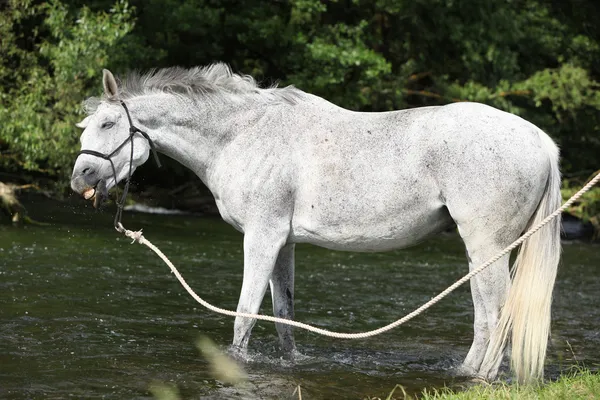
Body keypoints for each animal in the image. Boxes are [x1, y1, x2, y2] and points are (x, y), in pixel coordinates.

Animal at [71, 64, 564, 382]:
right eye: (85, 127)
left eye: (109, 123)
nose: (80, 178)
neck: (243, 133)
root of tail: (541, 139)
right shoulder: (283, 243)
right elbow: (283, 317)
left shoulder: (262, 237)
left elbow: (245, 316)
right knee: (486, 317)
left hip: (485, 246)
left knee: (495, 315)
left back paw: (478, 378)